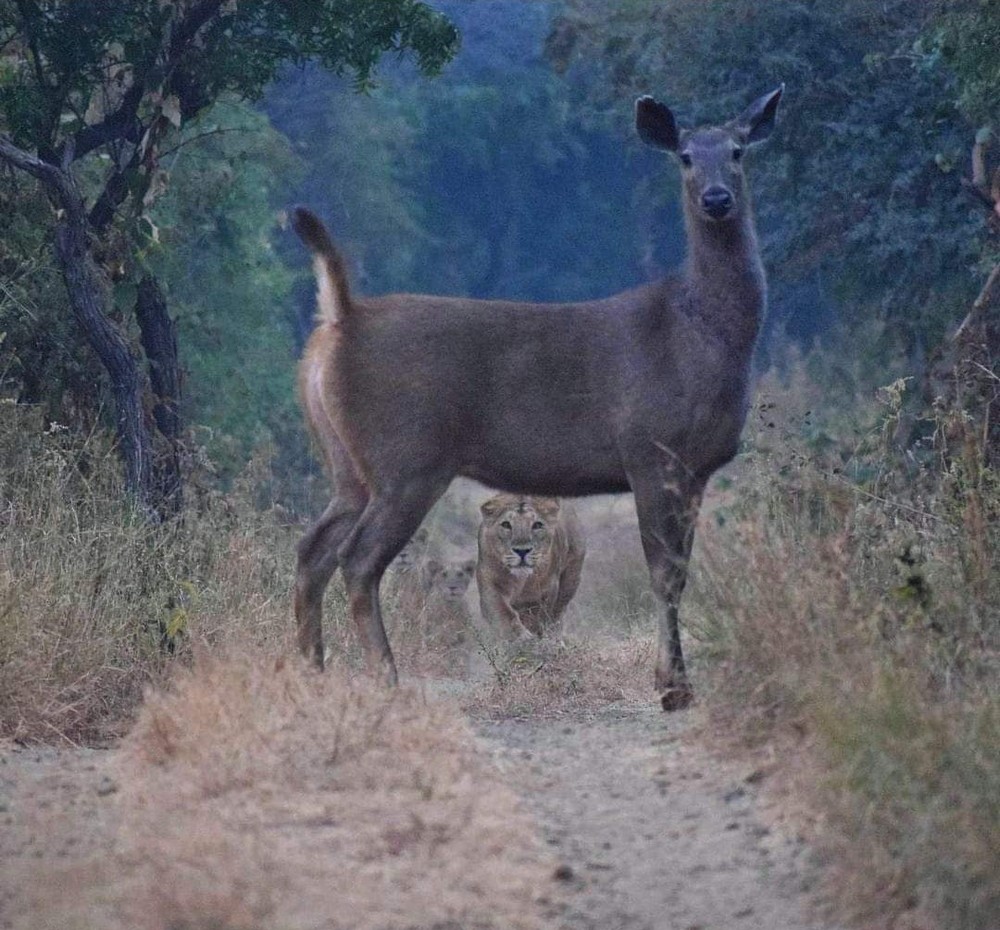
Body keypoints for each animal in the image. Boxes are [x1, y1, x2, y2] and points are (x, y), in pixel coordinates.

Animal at [290, 89, 780, 712]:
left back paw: (311, 672)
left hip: (348, 464)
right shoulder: (650, 450)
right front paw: (672, 688)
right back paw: (385, 677)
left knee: (312, 551)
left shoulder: (696, 468)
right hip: (407, 459)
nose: (717, 199)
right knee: (357, 559)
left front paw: (674, 683)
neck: (700, 333)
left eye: (738, 150)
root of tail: (340, 321)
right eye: (687, 156)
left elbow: (680, 571)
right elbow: (664, 572)